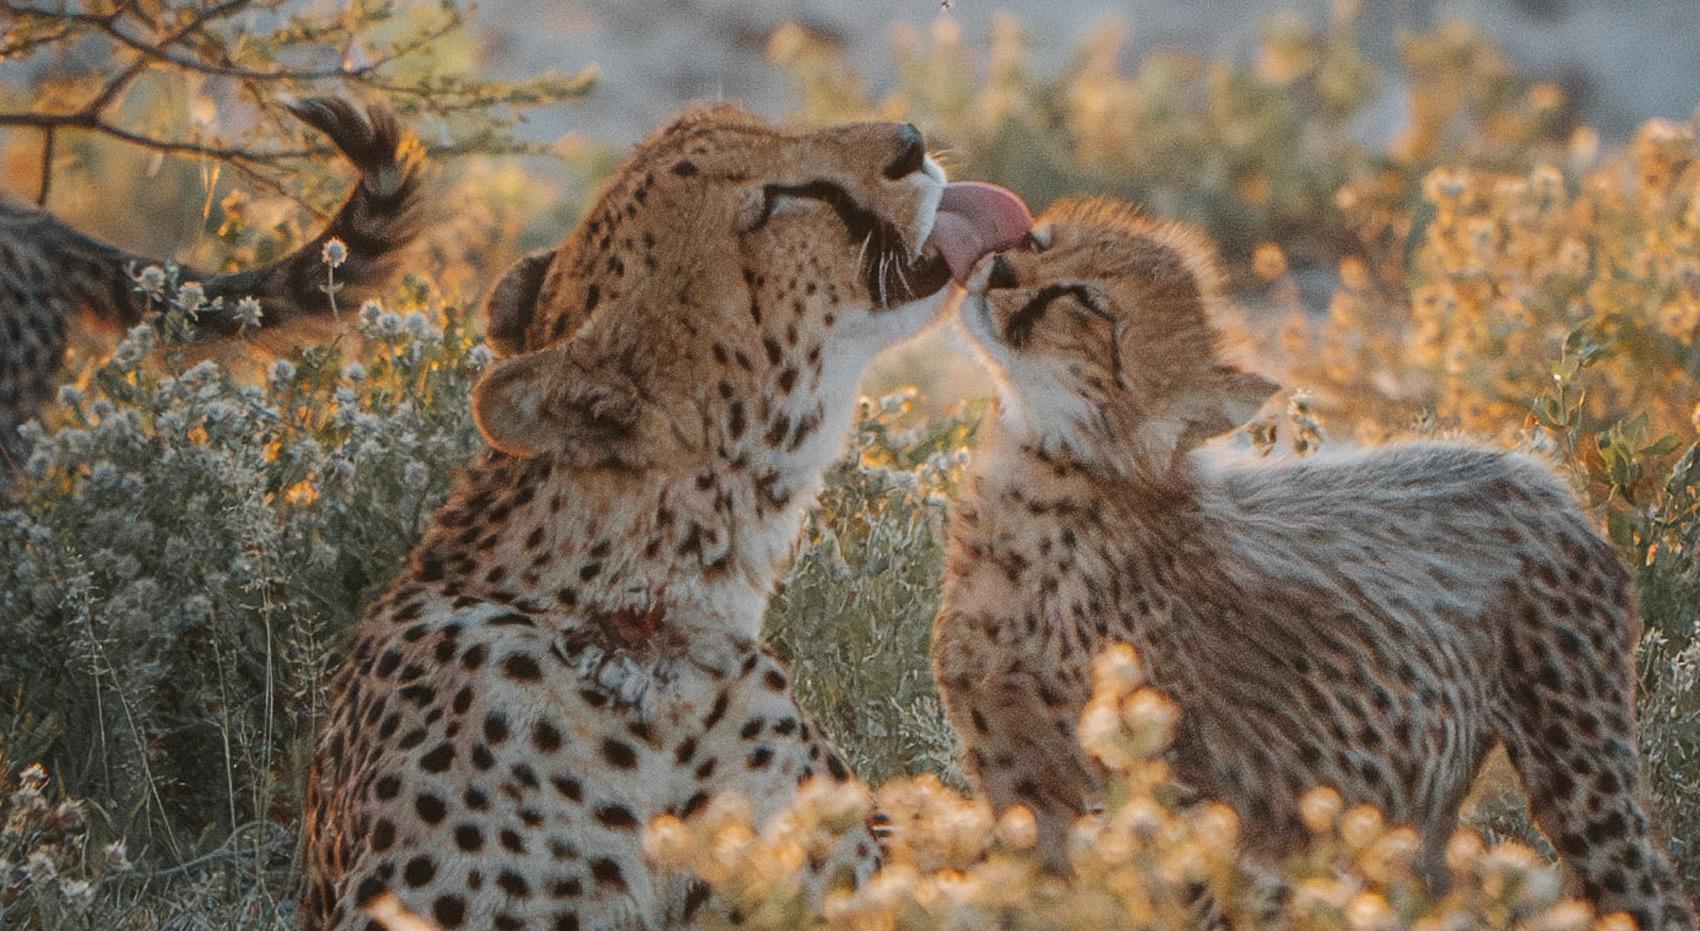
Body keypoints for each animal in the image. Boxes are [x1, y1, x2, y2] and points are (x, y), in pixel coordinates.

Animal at [931, 197, 1696, 929]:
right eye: (1038, 243)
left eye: (1088, 303)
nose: (996, 270)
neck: (1039, 481)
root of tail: (1538, 473)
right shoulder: (1020, 797)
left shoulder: (1187, 810)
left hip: (1582, 778)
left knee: (1651, 894)